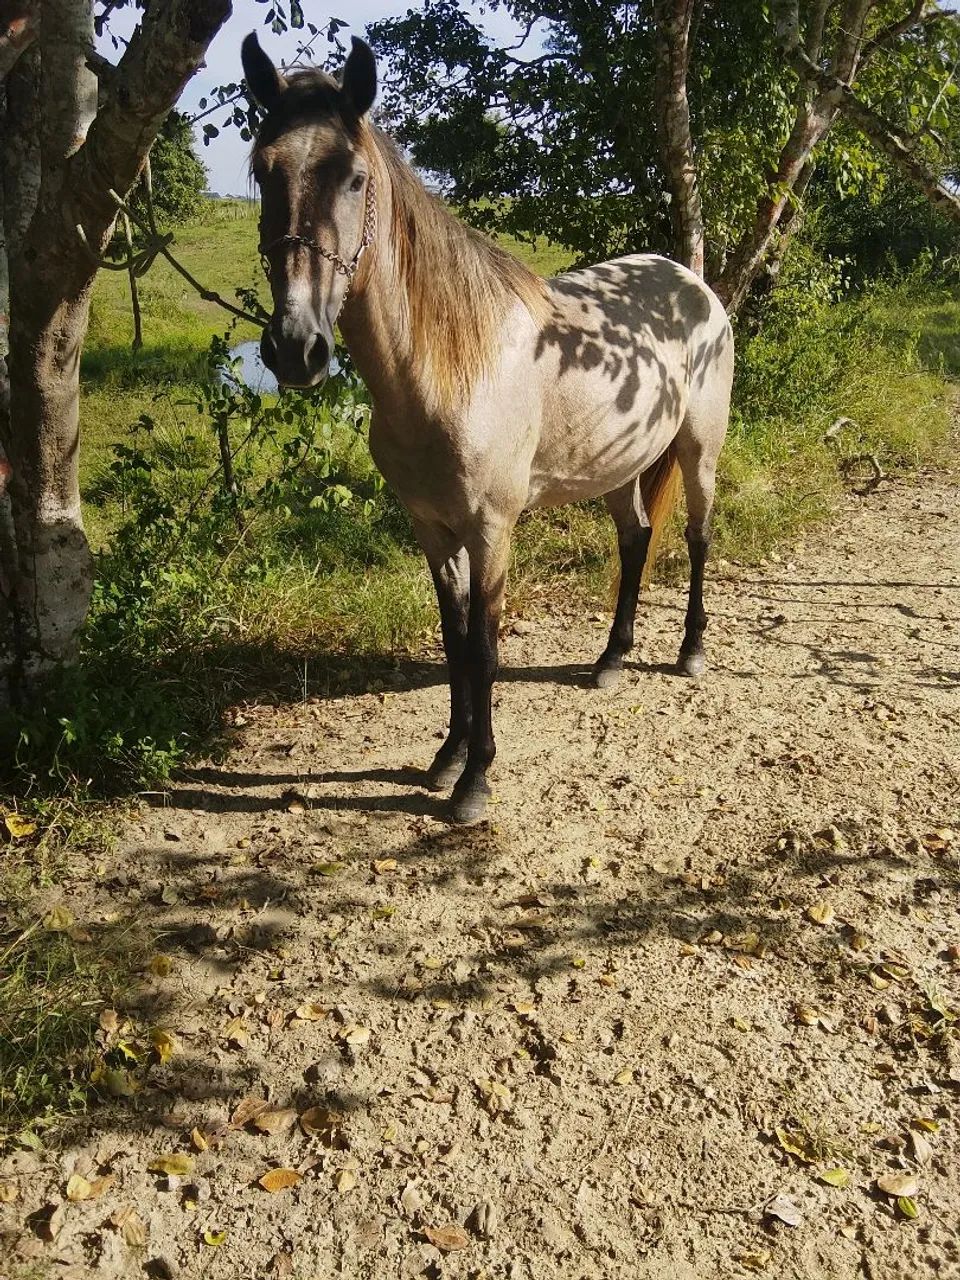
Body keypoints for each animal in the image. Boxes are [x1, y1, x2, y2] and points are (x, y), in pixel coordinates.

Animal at [241, 33, 734, 825]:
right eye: (264, 170)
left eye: (353, 178)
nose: (296, 348)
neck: (445, 371)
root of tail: (691, 284)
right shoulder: (431, 528)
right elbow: (453, 641)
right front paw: (446, 757)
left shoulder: (492, 529)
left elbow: (485, 646)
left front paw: (475, 780)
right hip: (618, 465)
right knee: (635, 539)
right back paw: (611, 659)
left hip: (698, 451)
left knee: (696, 536)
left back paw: (689, 650)